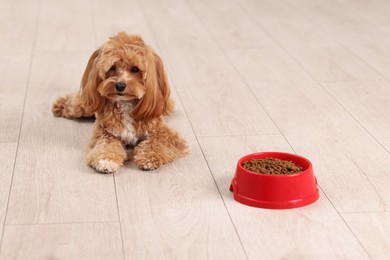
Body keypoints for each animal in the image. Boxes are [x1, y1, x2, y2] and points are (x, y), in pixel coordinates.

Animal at [52, 33, 189, 175]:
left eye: (135, 69)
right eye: (112, 67)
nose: (120, 85)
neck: (126, 104)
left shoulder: (164, 133)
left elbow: (156, 142)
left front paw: (148, 159)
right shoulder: (105, 133)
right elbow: (107, 146)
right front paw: (106, 161)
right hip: (86, 104)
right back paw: (60, 105)